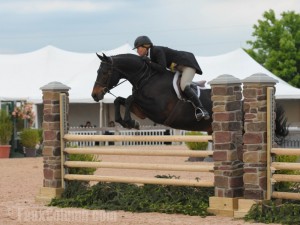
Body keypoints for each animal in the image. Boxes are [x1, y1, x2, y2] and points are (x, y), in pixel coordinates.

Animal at [91, 53, 288, 142]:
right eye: (97, 71)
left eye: (105, 72)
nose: (95, 95)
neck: (146, 77)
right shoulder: (142, 110)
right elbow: (120, 100)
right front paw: (127, 122)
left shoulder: (158, 110)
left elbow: (131, 98)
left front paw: (129, 122)